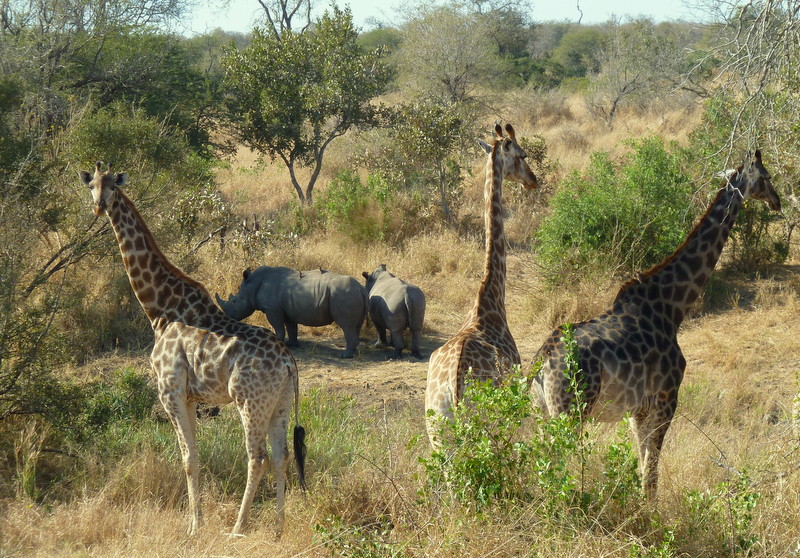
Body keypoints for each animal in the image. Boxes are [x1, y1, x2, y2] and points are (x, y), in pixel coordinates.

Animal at [80, 162, 306, 536]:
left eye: (113, 186)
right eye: (92, 185)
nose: (99, 206)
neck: (159, 310)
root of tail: (289, 363)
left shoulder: (170, 391)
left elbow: (187, 458)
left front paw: (194, 526)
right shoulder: (189, 397)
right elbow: (196, 455)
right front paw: (196, 521)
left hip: (249, 400)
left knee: (256, 456)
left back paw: (238, 527)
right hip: (281, 402)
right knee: (281, 455)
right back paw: (278, 527)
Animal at [216, 266, 367, 358]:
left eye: (234, 301)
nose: (227, 318)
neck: (252, 286)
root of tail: (361, 288)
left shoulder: (272, 309)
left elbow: (278, 327)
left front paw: (278, 344)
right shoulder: (289, 310)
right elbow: (291, 327)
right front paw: (291, 345)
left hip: (343, 294)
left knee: (346, 325)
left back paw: (344, 356)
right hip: (351, 293)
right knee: (356, 325)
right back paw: (353, 352)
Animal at [425, 123, 539, 446]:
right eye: (522, 154)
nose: (533, 181)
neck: (490, 300)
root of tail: (453, 390)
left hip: (437, 432)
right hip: (487, 425)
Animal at [531, 150, 781, 498]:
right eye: (766, 178)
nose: (777, 202)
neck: (673, 307)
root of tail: (542, 362)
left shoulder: (638, 409)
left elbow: (642, 470)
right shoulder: (666, 398)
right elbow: (651, 474)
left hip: (543, 412)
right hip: (570, 413)